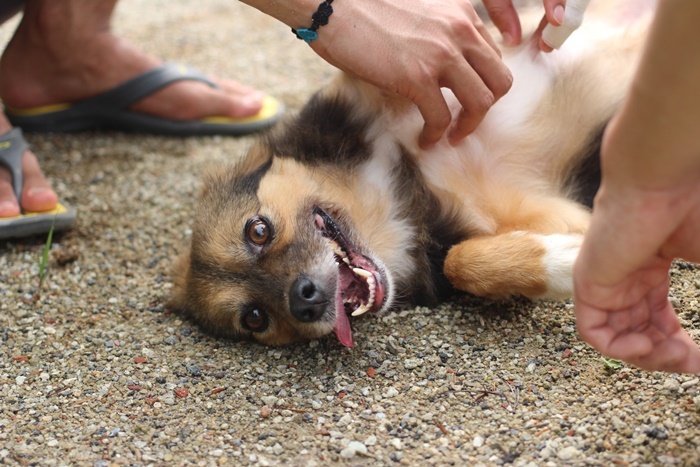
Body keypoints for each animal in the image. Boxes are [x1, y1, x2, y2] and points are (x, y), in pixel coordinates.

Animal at [168, 1, 652, 348]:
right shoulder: (542, 216)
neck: (398, 187)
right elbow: (462, 262)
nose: (305, 300)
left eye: (258, 230)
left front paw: (565, 16)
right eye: (255, 318)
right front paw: (568, 260)